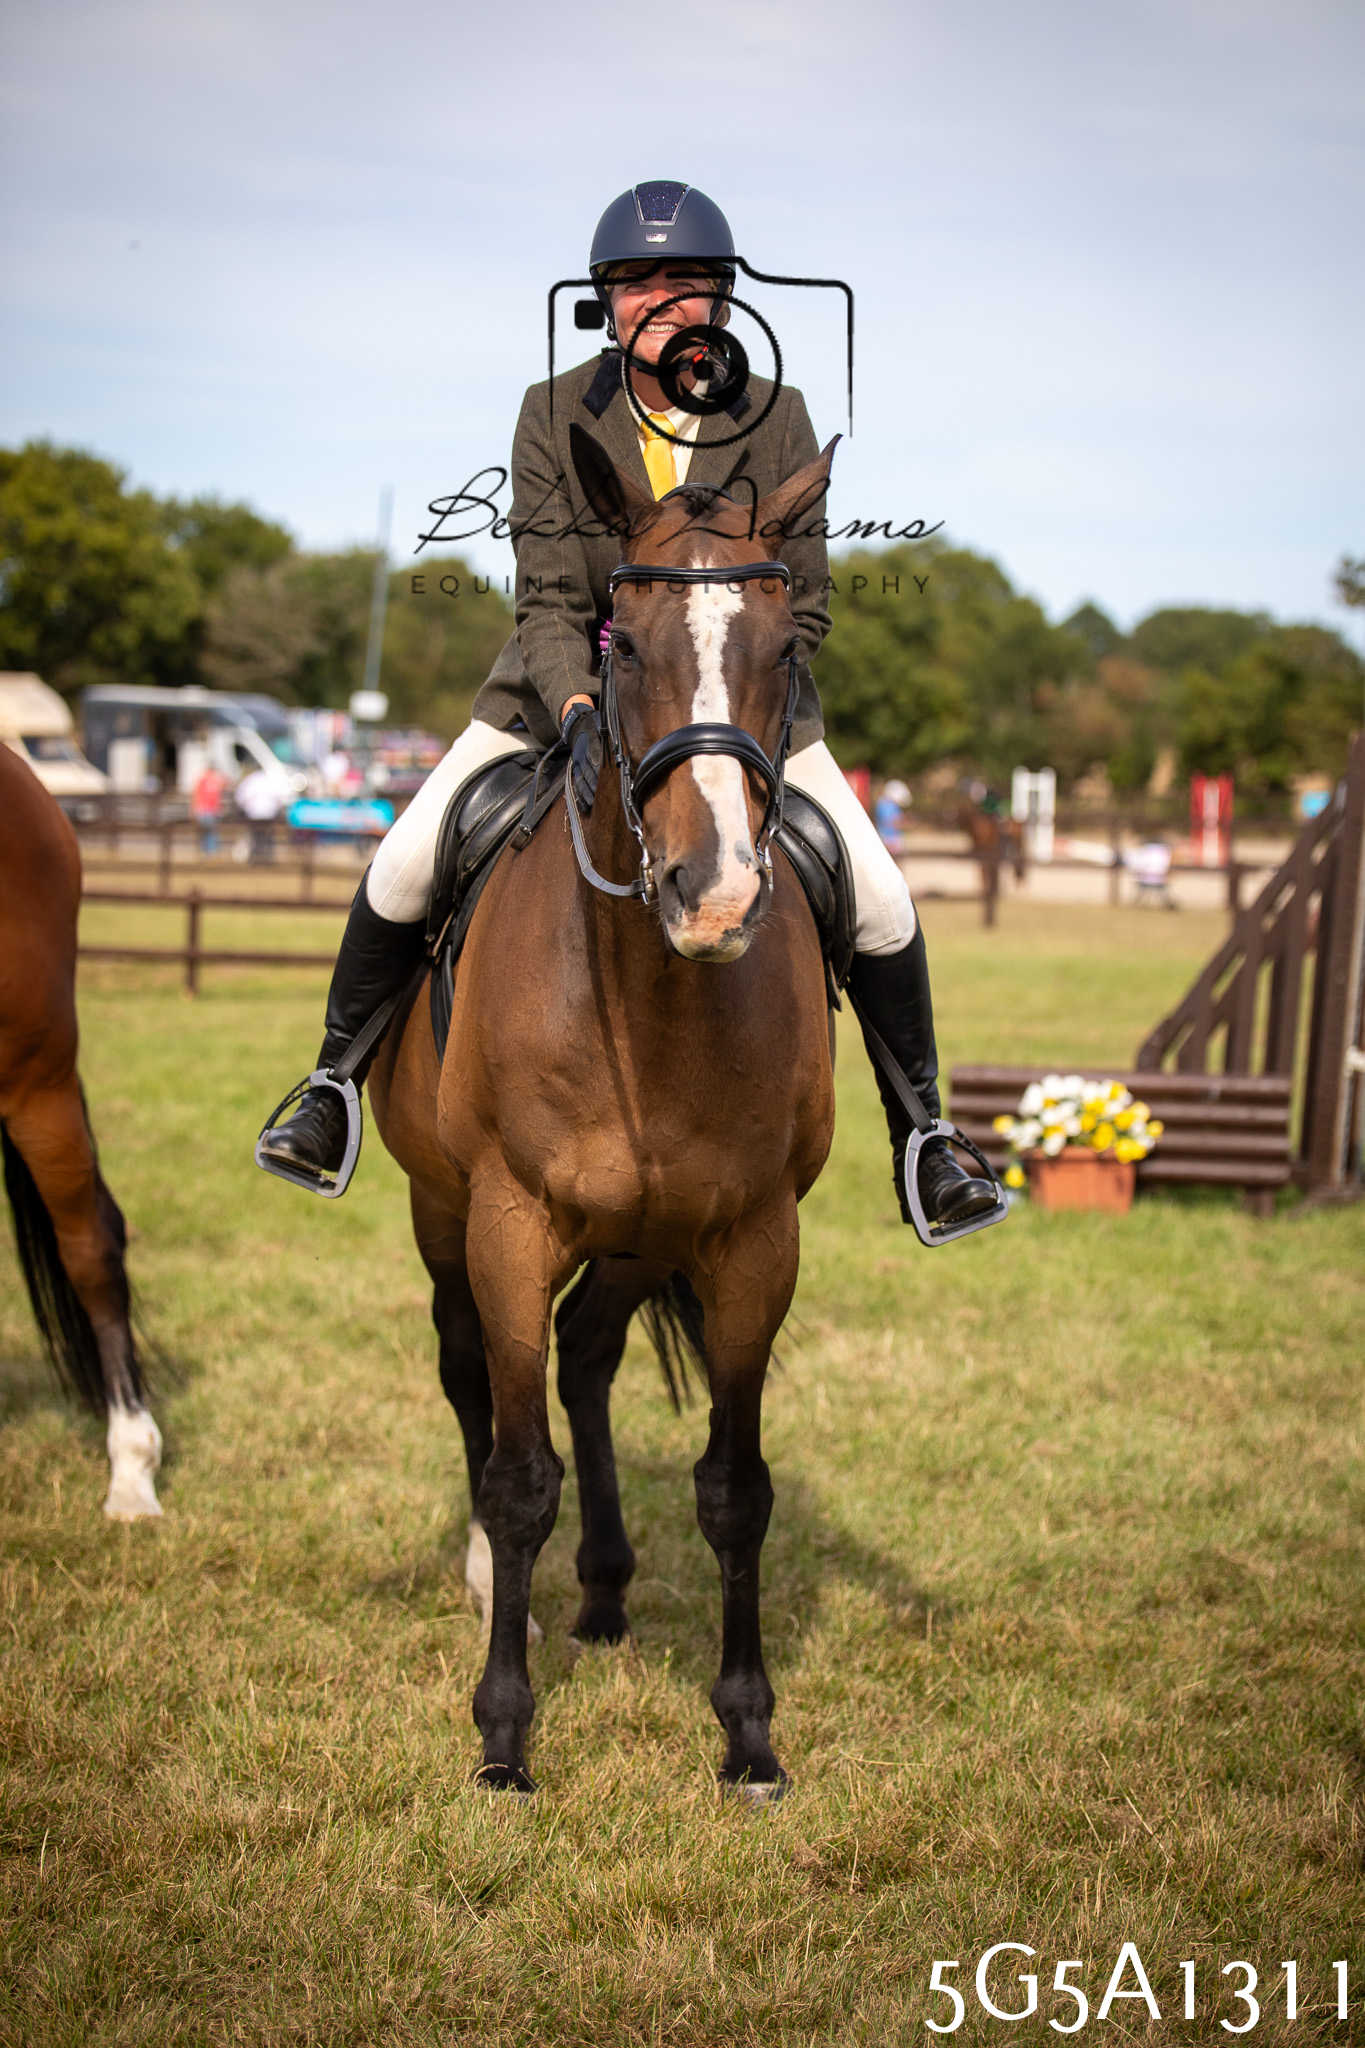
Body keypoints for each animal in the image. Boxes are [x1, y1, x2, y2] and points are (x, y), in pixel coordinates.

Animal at [367, 429, 841, 1796]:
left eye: (786, 649)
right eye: (621, 646)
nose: (714, 892)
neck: (651, 1000)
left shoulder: (752, 1240)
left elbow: (736, 1486)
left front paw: (747, 1732)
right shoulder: (510, 1224)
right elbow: (521, 1475)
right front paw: (503, 1737)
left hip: (640, 1236)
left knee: (584, 1357)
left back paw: (609, 1590)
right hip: (444, 1210)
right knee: (475, 1372)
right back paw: (500, 1585)